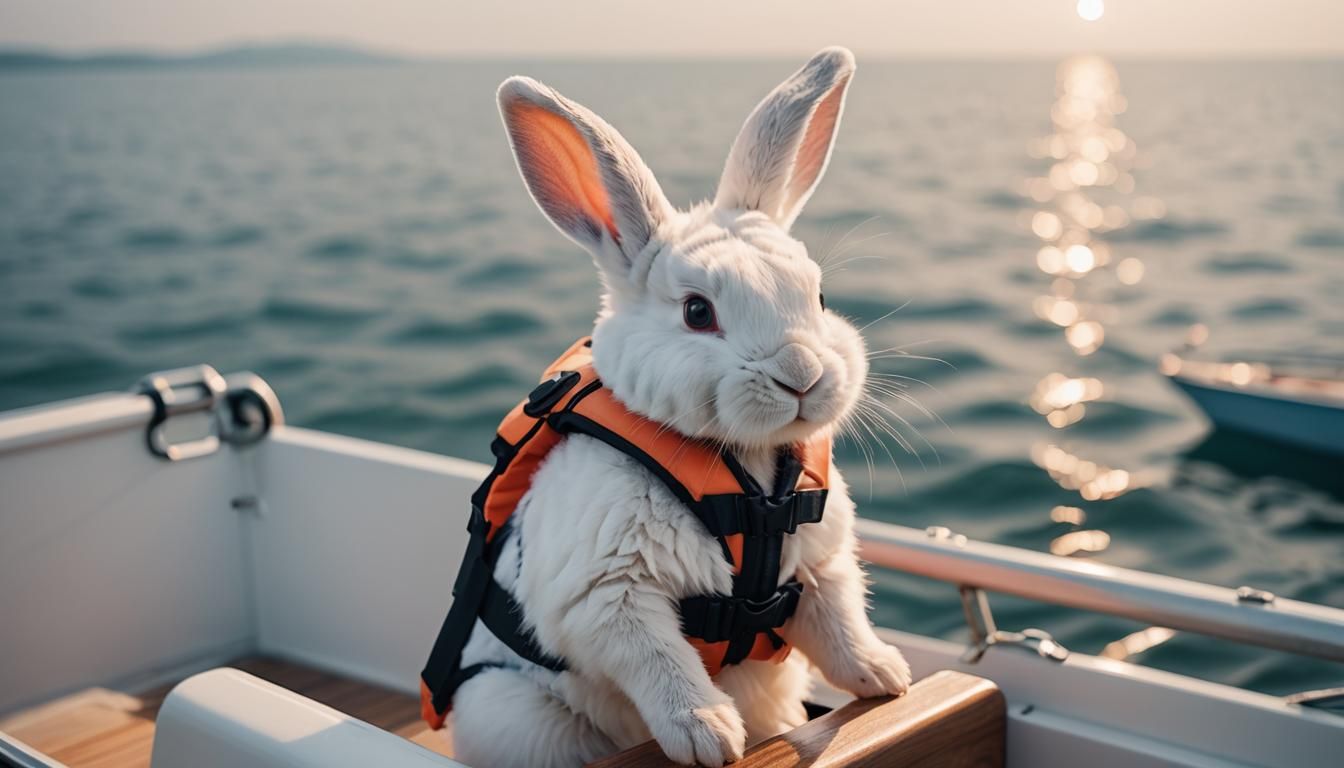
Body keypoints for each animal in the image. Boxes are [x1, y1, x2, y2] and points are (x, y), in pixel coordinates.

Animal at [448, 47, 911, 768]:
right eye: (698, 312)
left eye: (819, 297)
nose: (801, 375)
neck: (748, 473)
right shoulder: (608, 594)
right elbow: (660, 662)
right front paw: (709, 736)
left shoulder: (821, 565)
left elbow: (840, 623)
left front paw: (884, 675)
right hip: (517, 717)